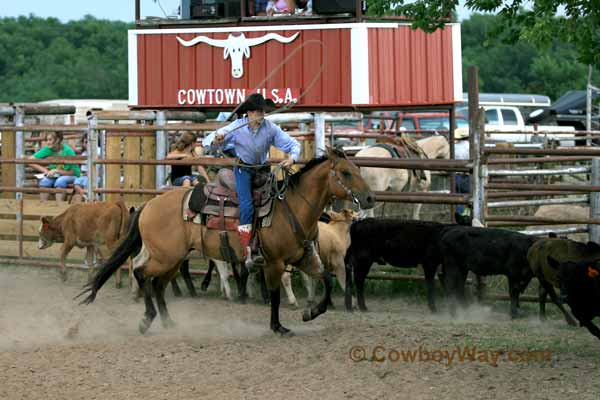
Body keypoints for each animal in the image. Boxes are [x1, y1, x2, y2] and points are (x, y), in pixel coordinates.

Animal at [77, 148, 372, 336]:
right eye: (346, 173)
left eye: (357, 169)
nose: (369, 198)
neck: (292, 207)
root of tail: (149, 204)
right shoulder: (274, 263)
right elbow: (275, 296)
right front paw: (278, 327)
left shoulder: (304, 258)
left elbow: (327, 280)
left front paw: (312, 313)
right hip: (165, 257)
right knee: (141, 273)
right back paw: (147, 320)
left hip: (173, 258)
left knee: (158, 284)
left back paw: (169, 323)